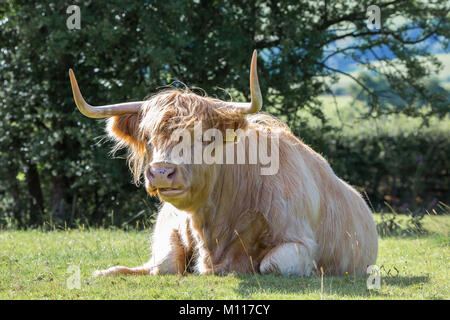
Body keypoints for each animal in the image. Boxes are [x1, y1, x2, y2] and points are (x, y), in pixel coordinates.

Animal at [68, 50, 378, 278]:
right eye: (147, 137)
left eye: (205, 137)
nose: (161, 172)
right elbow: (165, 263)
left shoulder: (299, 243)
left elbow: (271, 265)